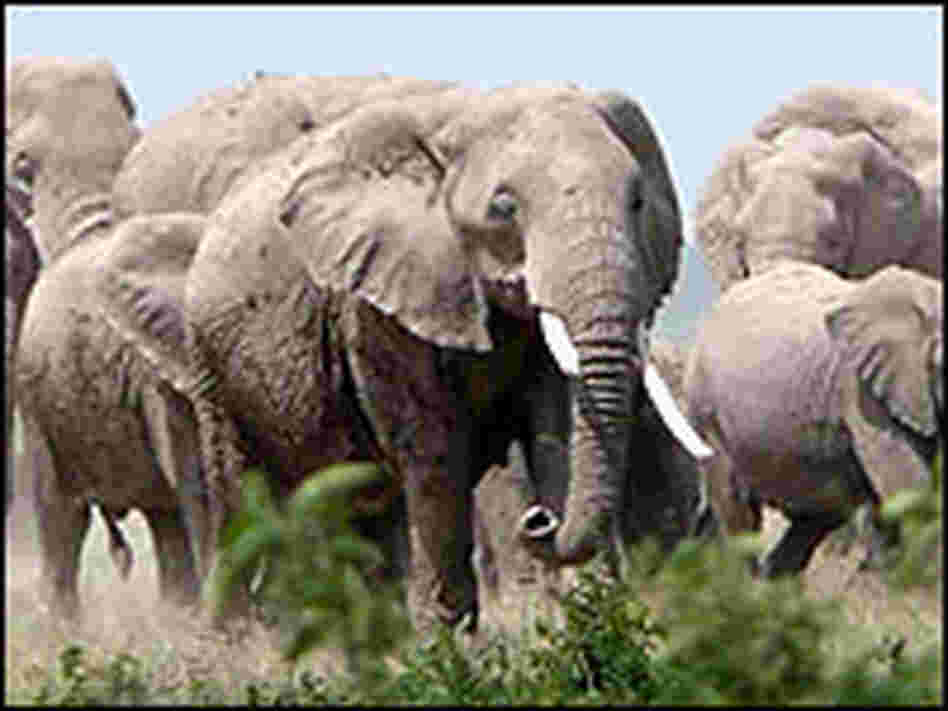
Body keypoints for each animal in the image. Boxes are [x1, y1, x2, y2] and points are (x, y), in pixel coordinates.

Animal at [96, 82, 713, 633]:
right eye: (504, 206)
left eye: (637, 200)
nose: (538, 520)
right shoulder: (374, 306)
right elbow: (434, 455)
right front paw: (452, 651)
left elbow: (556, 431)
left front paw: (598, 618)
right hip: (211, 361)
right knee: (238, 496)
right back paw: (239, 649)